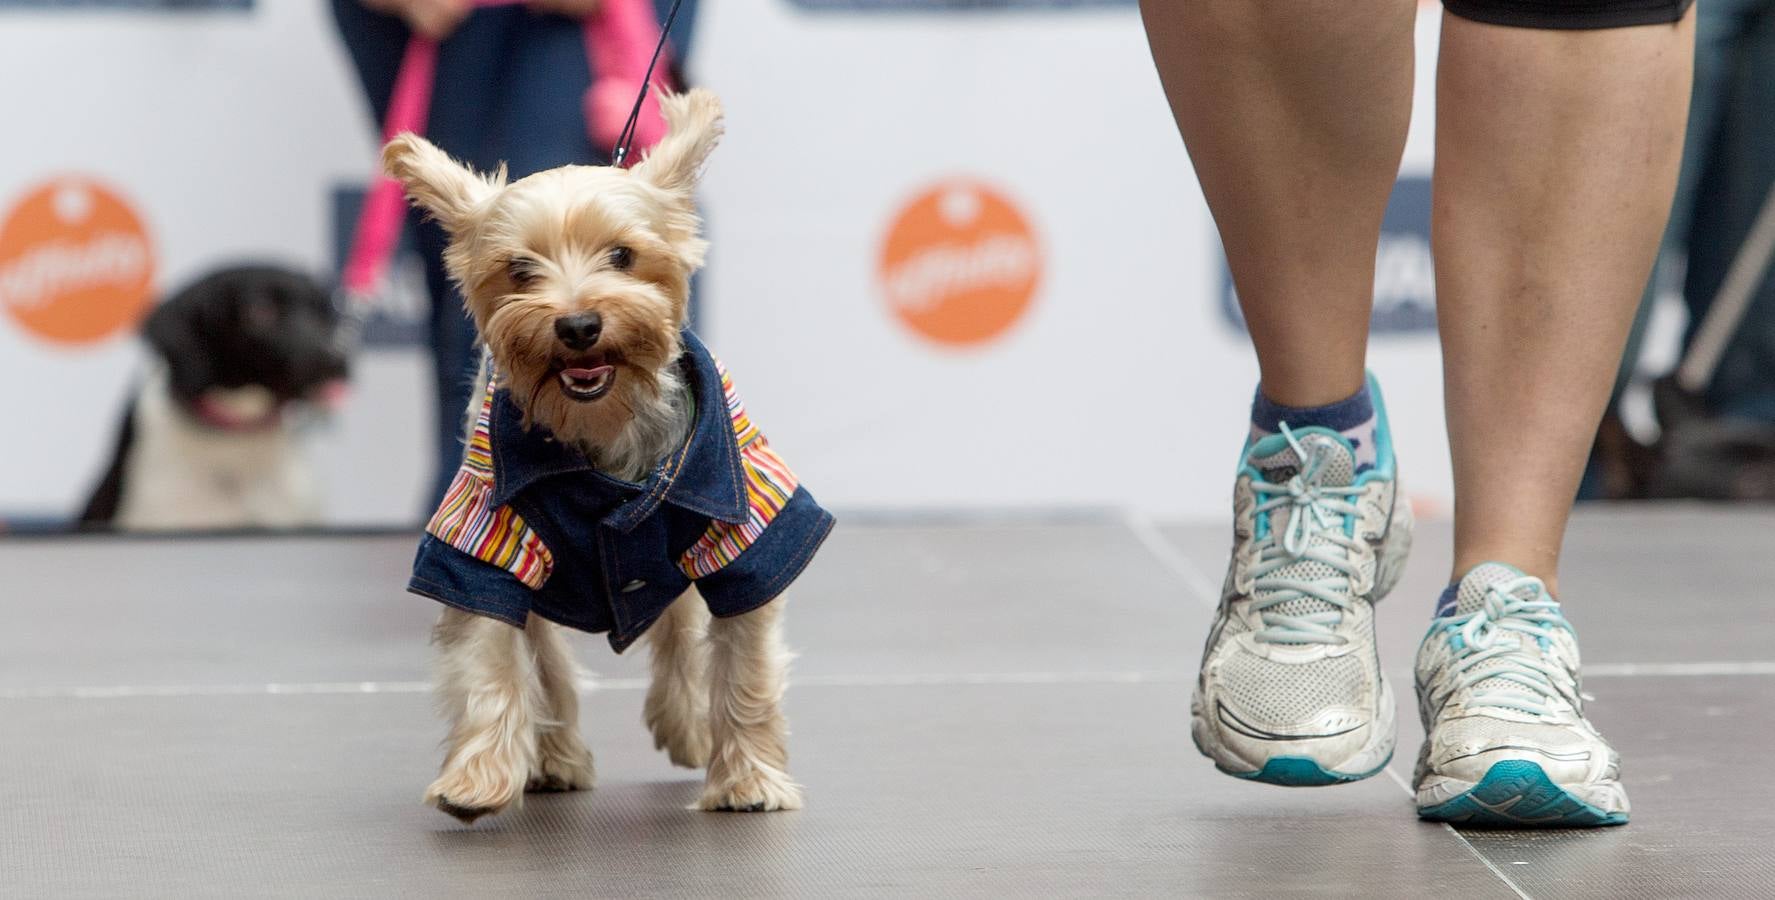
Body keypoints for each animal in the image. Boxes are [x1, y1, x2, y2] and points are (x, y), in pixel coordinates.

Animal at [388, 89, 830, 823]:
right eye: (519, 270)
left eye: (622, 255)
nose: (576, 324)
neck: (604, 429)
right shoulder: (484, 536)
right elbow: (490, 659)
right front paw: (476, 777)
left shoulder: (741, 524)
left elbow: (744, 662)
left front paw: (747, 779)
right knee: (547, 654)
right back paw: (555, 758)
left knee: (677, 625)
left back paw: (686, 726)